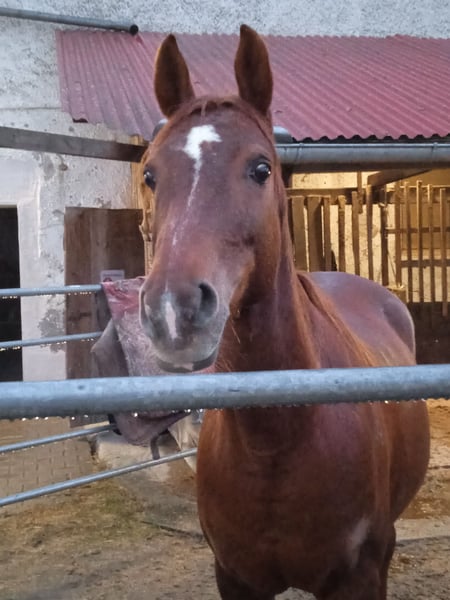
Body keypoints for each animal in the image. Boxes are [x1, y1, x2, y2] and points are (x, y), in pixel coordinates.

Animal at [138, 25, 430, 600]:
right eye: (152, 176)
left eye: (260, 168)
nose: (174, 311)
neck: (276, 440)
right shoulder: (235, 578)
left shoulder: (359, 578)